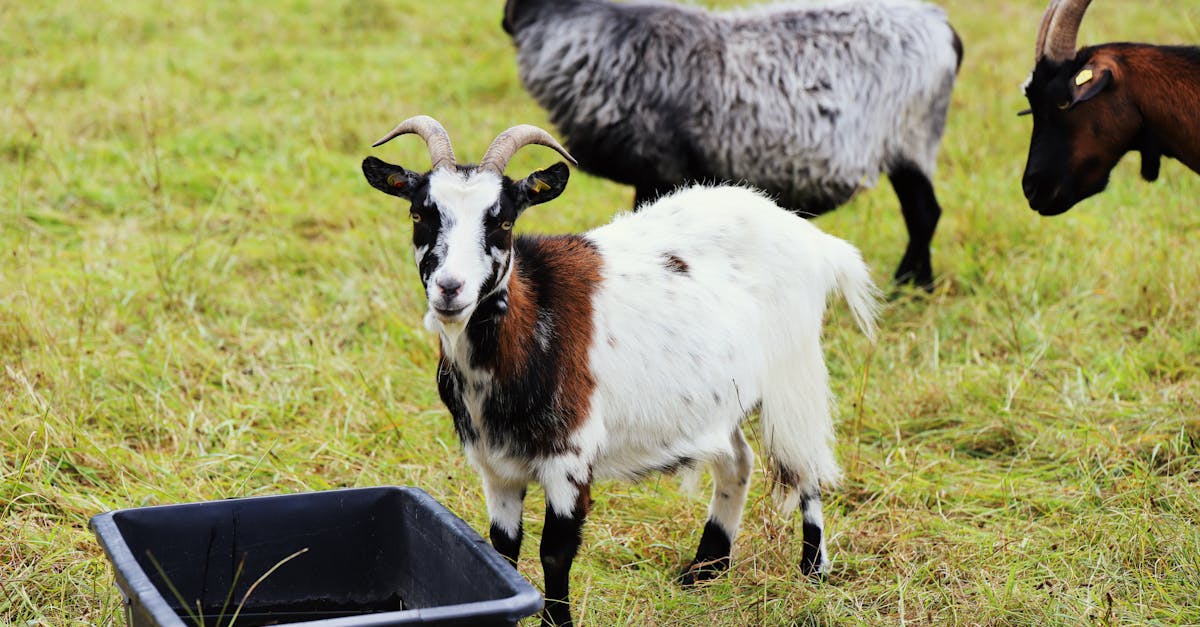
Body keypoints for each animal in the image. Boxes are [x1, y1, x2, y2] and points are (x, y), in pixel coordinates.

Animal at [360, 114, 878, 619]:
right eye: (420, 213)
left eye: (503, 221)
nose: (450, 288)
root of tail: (812, 238)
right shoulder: (496, 467)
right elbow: (501, 552)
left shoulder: (570, 458)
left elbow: (555, 553)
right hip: (720, 399)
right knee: (737, 462)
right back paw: (706, 569)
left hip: (794, 371)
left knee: (806, 467)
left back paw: (813, 572)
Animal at [501, 0, 960, 288]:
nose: (506, 20)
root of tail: (944, 29)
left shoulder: (660, 170)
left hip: (911, 140)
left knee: (923, 213)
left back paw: (910, 286)